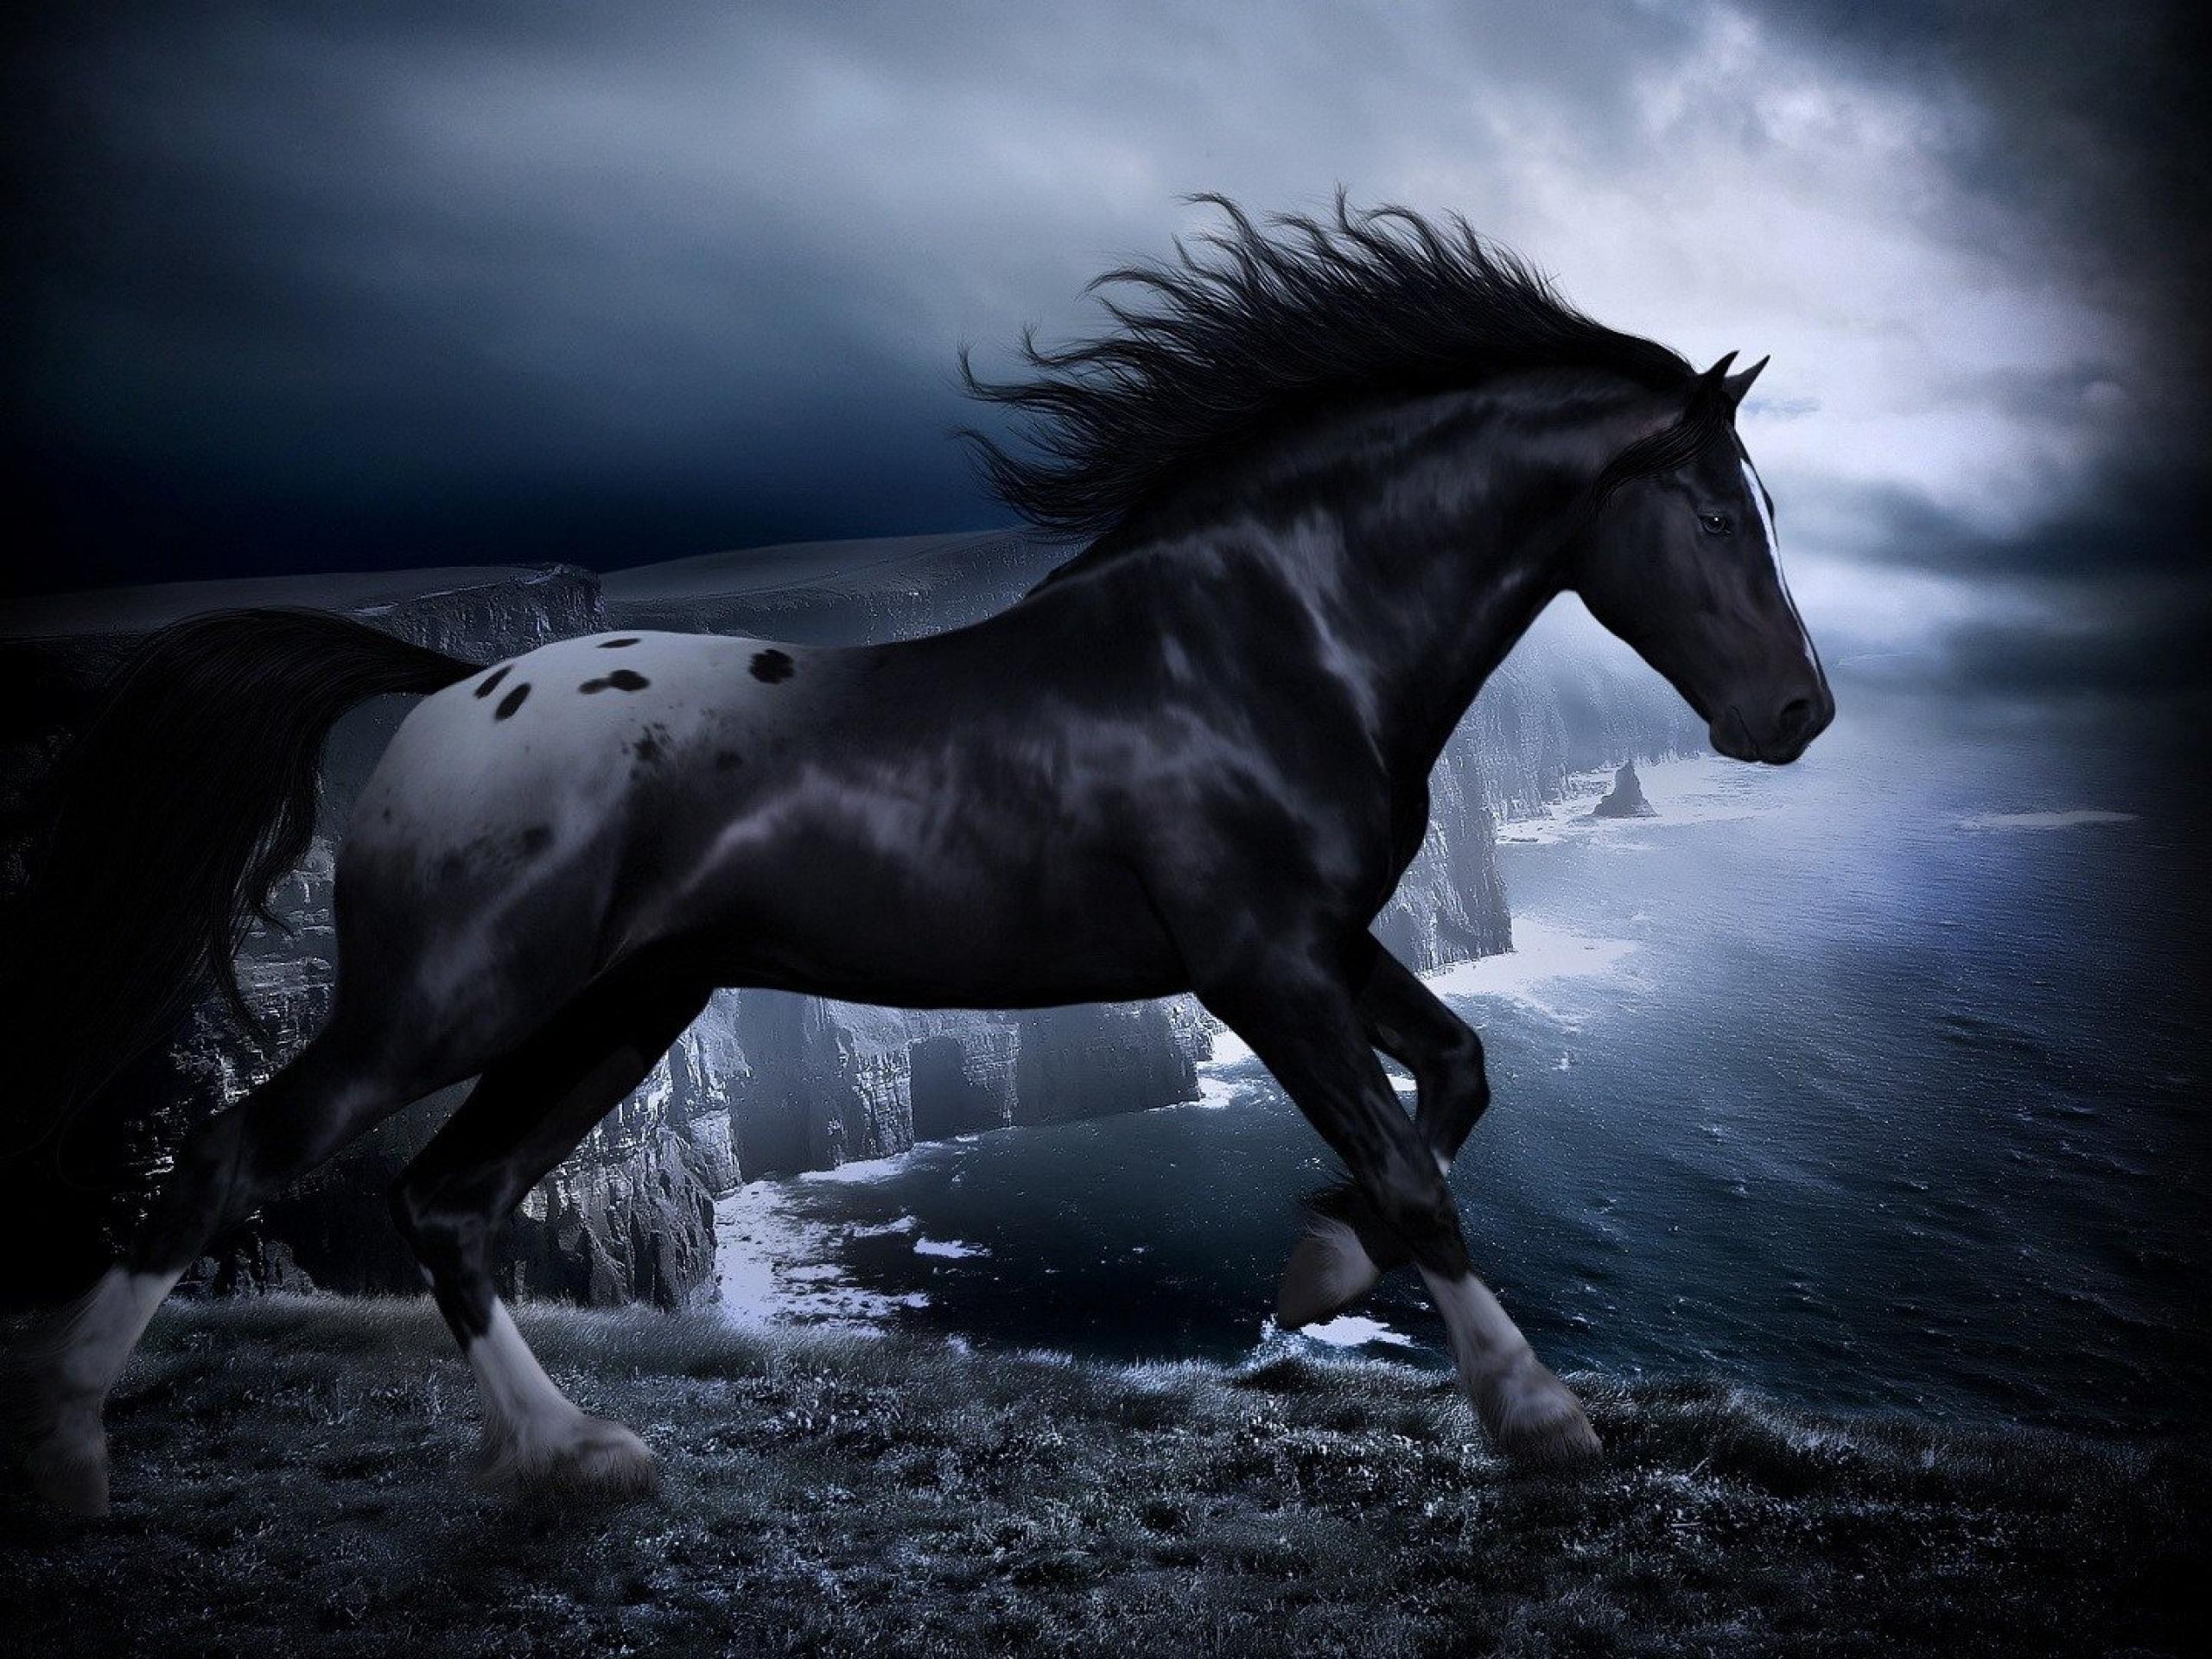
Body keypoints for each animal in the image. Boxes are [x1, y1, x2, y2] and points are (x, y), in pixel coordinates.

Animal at [11, 195, 1830, 1515]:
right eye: (1716, 511)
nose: (1801, 714)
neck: (1264, 635)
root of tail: (453, 683)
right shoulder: (1259, 961)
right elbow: (1409, 1164)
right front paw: (1535, 1415)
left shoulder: (1321, 941)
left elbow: (1456, 1073)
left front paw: (1316, 1270)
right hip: (450, 1000)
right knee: (237, 1157)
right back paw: (72, 1456)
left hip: (620, 1012)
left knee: (449, 1202)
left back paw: (572, 1459)